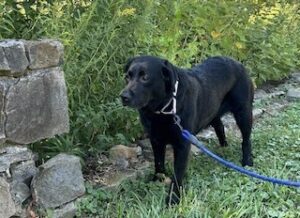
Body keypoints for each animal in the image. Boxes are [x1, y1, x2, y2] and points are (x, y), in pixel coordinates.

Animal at [119, 55, 253, 204]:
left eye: (145, 77)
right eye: (127, 77)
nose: (123, 96)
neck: (163, 109)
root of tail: (235, 62)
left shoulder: (182, 144)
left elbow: (177, 174)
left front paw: (173, 199)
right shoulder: (155, 140)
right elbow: (158, 164)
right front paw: (157, 182)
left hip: (243, 113)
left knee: (246, 139)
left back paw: (247, 161)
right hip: (212, 111)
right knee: (220, 126)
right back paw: (223, 148)